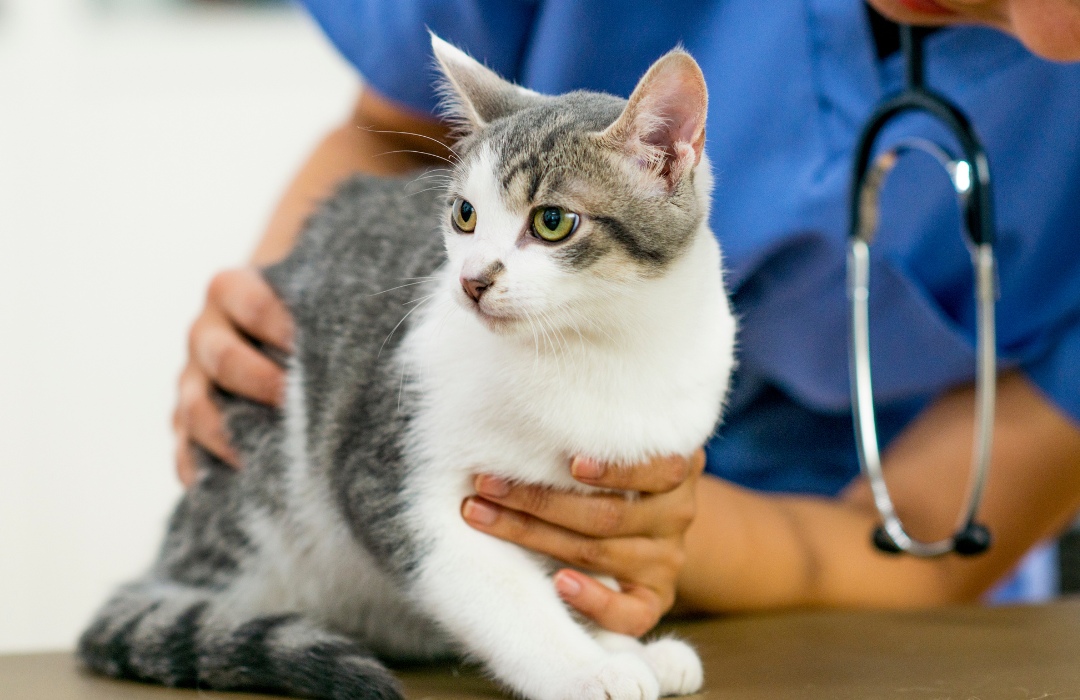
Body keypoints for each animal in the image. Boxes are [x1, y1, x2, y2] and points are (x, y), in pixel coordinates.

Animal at [79, 35, 738, 700]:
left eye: (552, 221)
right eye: (465, 215)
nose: (472, 281)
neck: (601, 347)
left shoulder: (610, 494)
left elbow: (589, 577)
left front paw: (621, 644)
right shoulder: (391, 477)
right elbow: (498, 591)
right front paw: (589, 667)